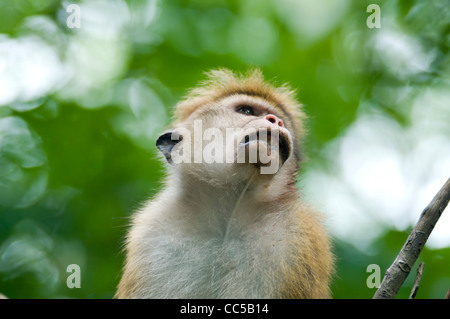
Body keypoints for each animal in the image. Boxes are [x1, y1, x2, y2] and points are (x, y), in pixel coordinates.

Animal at [116, 68, 334, 300]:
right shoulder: (153, 238)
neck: (225, 217)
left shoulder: (294, 238)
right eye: (246, 110)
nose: (276, 121)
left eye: (281, 120)